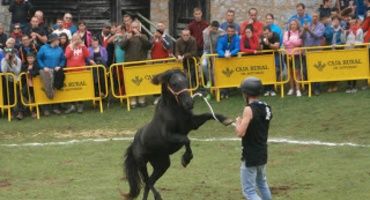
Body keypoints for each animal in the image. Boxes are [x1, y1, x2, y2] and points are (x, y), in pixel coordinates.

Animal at [123, 69, 233, 199]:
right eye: (174, 84)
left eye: (186, 81)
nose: (189, 103)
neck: (175, 111)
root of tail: (133, 144)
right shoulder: (169, 135)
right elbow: (186, 139)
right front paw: (186, 159)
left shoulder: (193, 124)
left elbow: (209, 114)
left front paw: (226, 120)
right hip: (142, 163)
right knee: (147, 181)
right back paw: (158, 196)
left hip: (162, 164)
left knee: (149, 183)